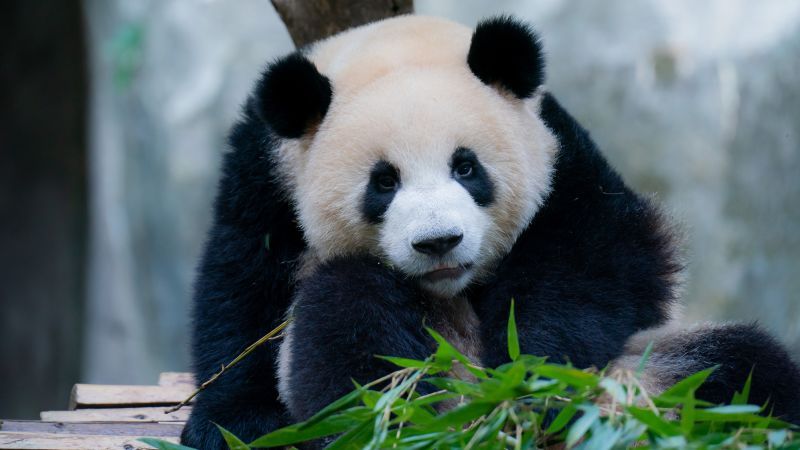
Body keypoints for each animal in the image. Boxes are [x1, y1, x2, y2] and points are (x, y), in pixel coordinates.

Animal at [181, 15, 800, 448]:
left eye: (466, 167)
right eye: (384, 182)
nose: (438, 242)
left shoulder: (561, 154)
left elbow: (603, 265)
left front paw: (532, 375)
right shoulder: (263, 175)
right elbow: (241, 289)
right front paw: (235, 422)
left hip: (651, 368)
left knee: (743, 370)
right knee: (347, 321)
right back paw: (403, 421)